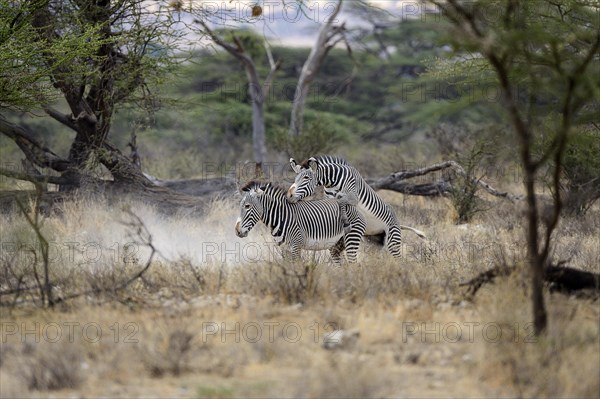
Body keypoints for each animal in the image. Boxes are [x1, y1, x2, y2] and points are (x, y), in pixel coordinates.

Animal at [234, 180, 366, 262]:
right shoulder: (284, 249)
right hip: (336, 245)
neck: (282, 217)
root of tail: (355, 208)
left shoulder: (296, 247)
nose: (237, 231)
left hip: (351, 238)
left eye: (247, 206)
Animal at [288, 156, 424, 260]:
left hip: (392, 240)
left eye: (306, 178)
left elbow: (341, 201)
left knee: (398, 259)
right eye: (295, 179)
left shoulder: (353, 197)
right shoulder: (329, 199)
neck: (332, 182)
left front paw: (344, 219)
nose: (289, 196)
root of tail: (398, 223)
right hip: (373, 243)